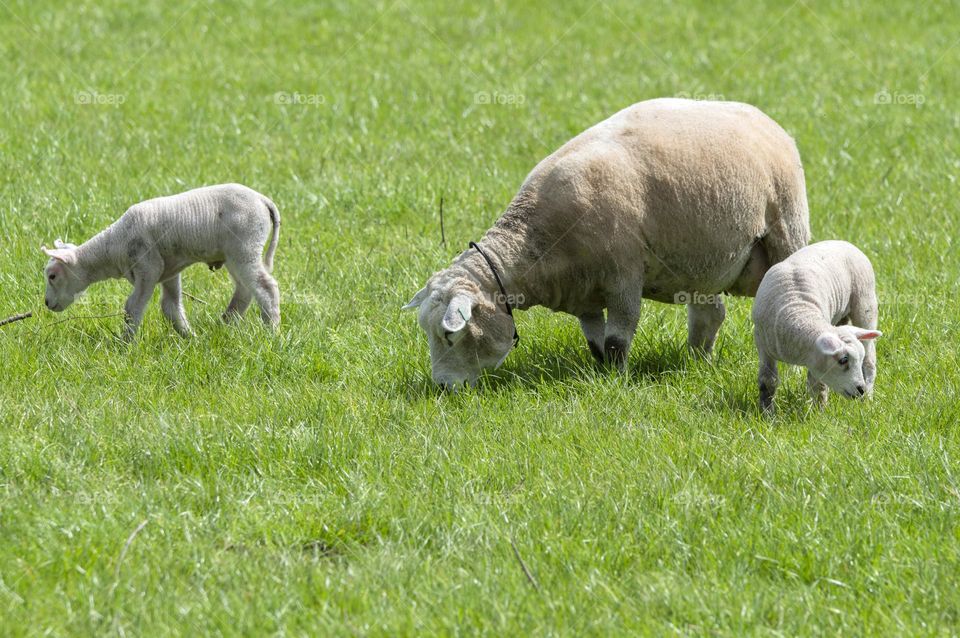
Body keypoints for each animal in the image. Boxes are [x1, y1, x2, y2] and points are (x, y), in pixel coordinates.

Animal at [42, 183, 280, 338]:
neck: (114, 245)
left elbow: (132, 306)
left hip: (245, 246)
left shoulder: (148, 267)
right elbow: (170, 306)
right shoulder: (169, 270)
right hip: (235, 253)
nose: (46, 303)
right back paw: (226, 322)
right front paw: (189, 338)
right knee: (245, 288)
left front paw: (125, 343)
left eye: (52, 276)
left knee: (265, 287)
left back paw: (272, 331)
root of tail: (263, 200)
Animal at [404, 98, 811, 388]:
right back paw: (697, 362)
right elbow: (596, 345)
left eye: (449, 335)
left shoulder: (623, 276)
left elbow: (617, 341)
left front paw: (617, 382)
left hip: (786, 228)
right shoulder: (583, 294)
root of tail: (759, 115)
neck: (536, 243)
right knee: (710, 314)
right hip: (700, 261)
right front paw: (601, 374)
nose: (442, 387)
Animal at [752, 240, 881, 413]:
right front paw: (767, 412)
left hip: (865, 304)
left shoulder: (816, 359)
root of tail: (844, 242)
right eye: (843, 360)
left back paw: (868, 400)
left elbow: (818, 386)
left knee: (870, 361)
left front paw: (819, 412)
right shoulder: (762, 345)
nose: (861, 389)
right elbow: (768, 381)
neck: (798, 311)